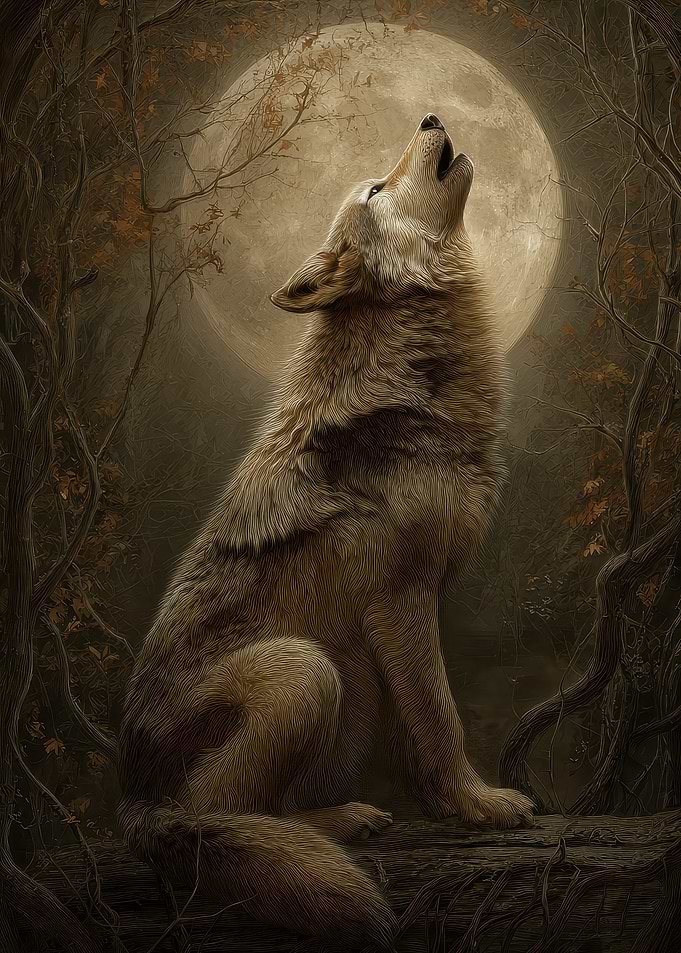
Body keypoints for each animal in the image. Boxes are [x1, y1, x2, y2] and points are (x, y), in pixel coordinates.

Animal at [117, 113, 534, 950]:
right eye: (373, 188)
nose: (430, 115)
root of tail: (132, 800)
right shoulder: (403, 598)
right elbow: (440, 715)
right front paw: (478, 802)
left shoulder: (404, 614)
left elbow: (424, 723)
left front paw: (445, 802)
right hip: (306, 670)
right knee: (219, 811)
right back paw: (329, 826)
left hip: (352, 680)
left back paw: (344, 818)